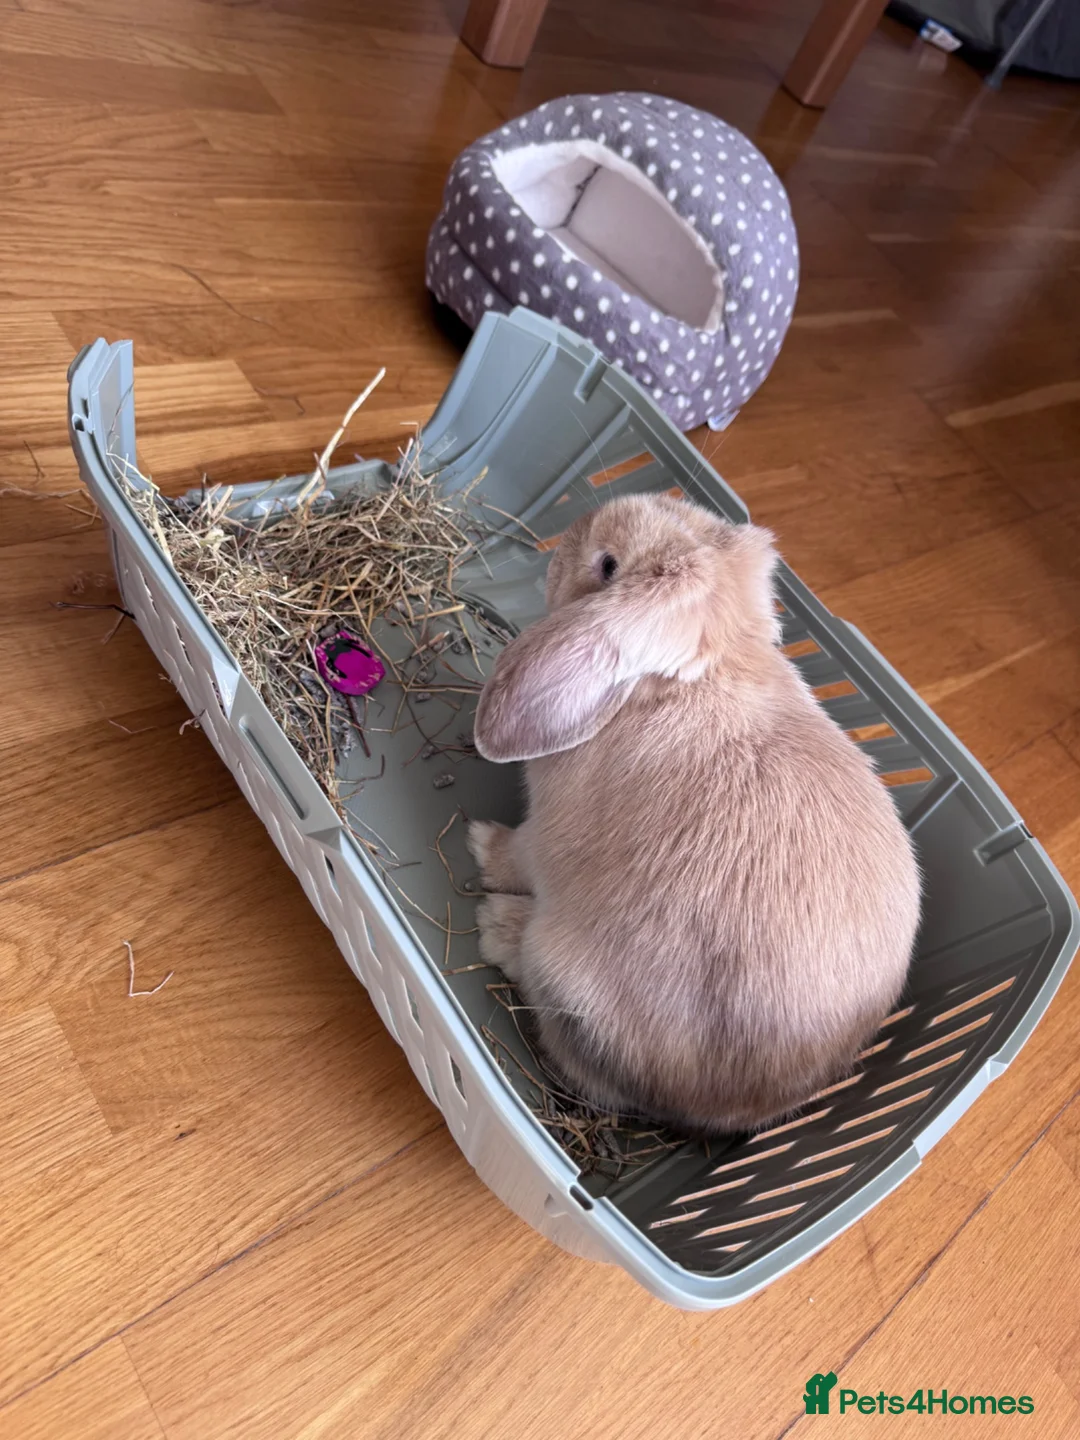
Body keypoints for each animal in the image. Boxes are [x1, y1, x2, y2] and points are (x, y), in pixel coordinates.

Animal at [467, 492, 921, 1134]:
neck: (685, 682)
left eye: (608, 565)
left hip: (566, 982)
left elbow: (516, 854)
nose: (558, 551)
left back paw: (496, 927)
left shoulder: (541, 838)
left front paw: (480, 845)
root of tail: (733, 1109)